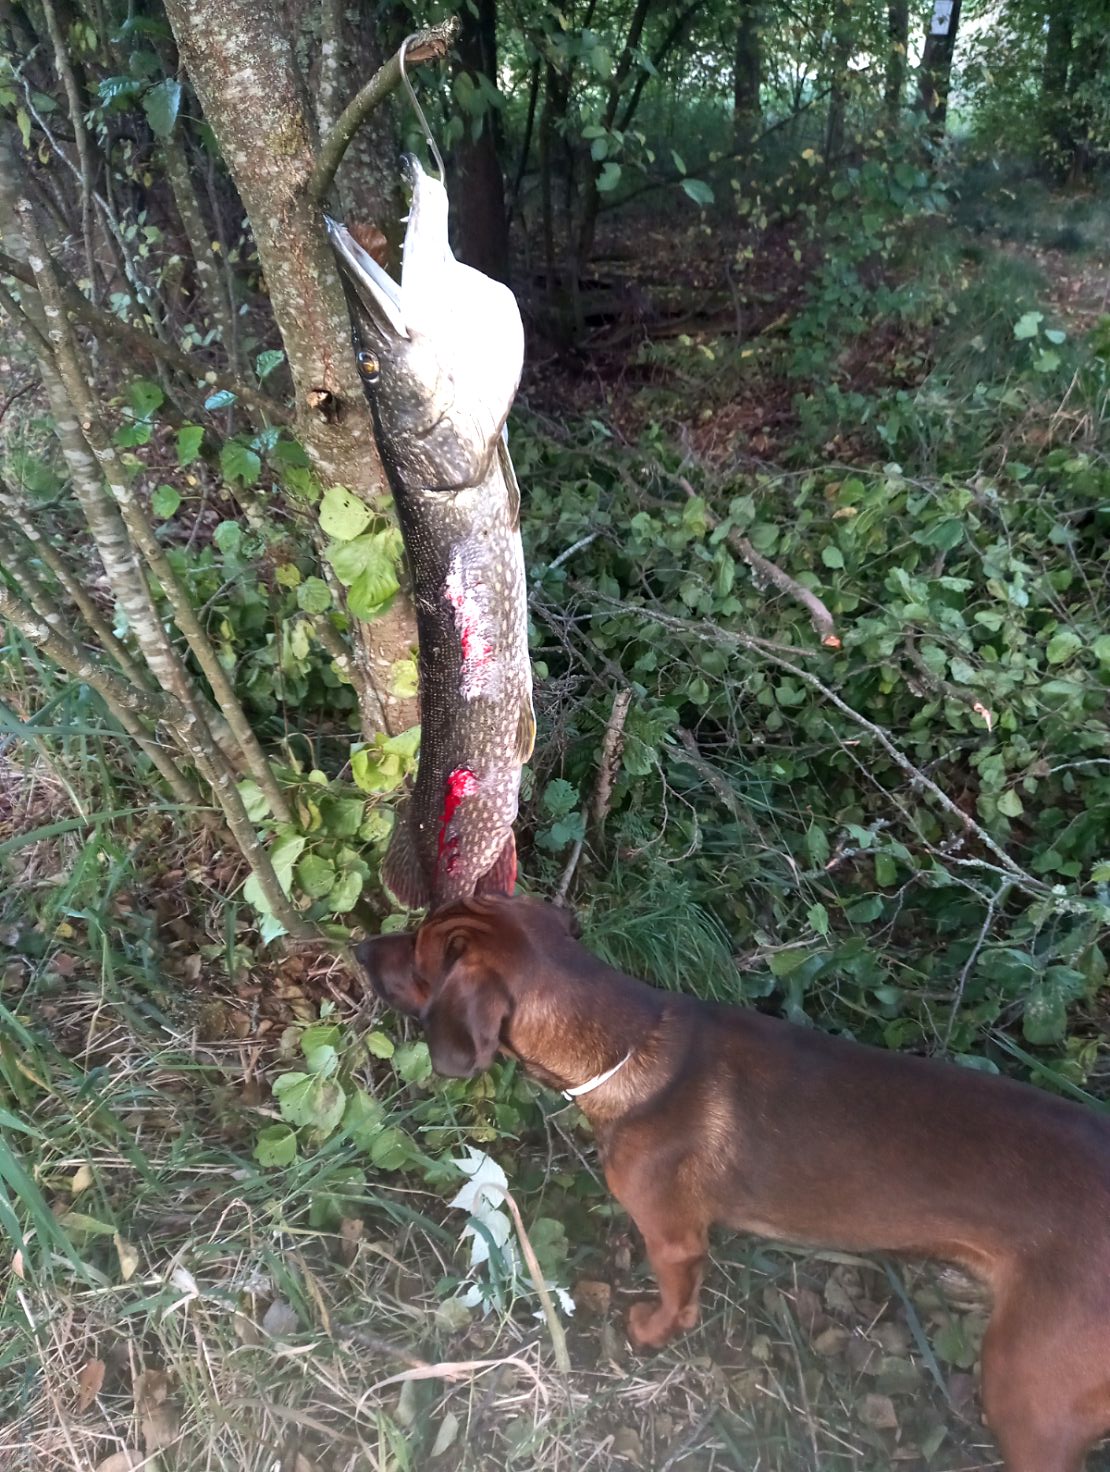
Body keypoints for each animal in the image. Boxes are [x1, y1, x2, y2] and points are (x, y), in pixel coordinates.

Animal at [357, 893, 1110, 1472]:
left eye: (418, 955)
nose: (360, 948)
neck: (628, 1045)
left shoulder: (676, 1242)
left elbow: (675, 1305)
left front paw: (652, 1331)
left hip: (1025, 1392)